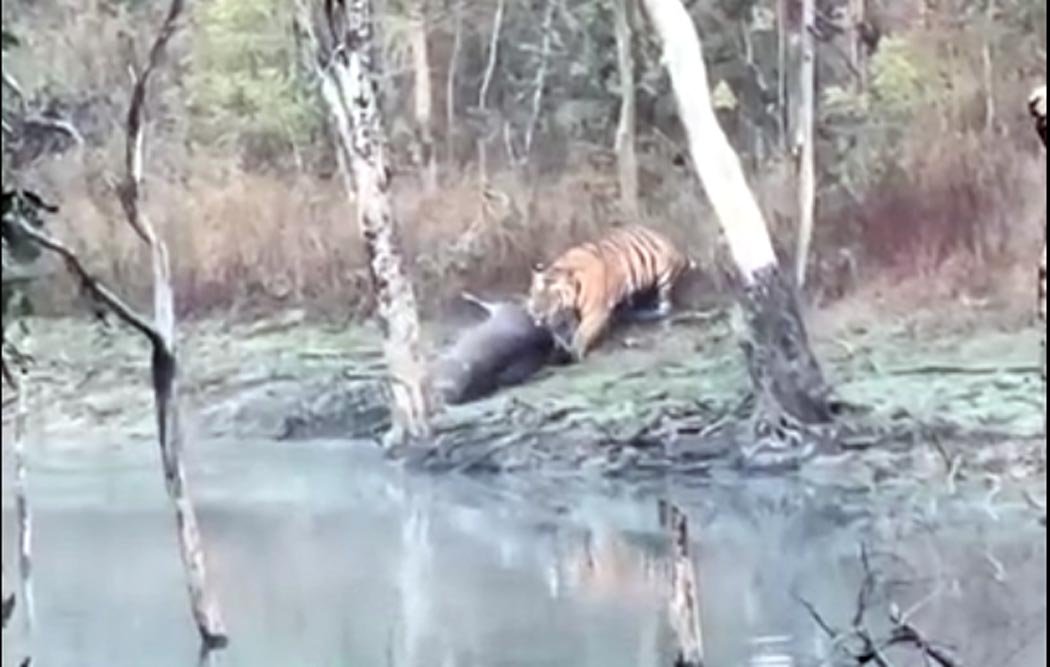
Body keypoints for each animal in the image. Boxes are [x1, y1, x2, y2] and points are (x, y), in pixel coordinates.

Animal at [527, 225, 693, 361]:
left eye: (548, 298)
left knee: (666, 304)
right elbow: (575, 328)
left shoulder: (595, 312)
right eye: (533, 294)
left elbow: (581, 334)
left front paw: (576, 353)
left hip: (663, 276)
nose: (536, 314)